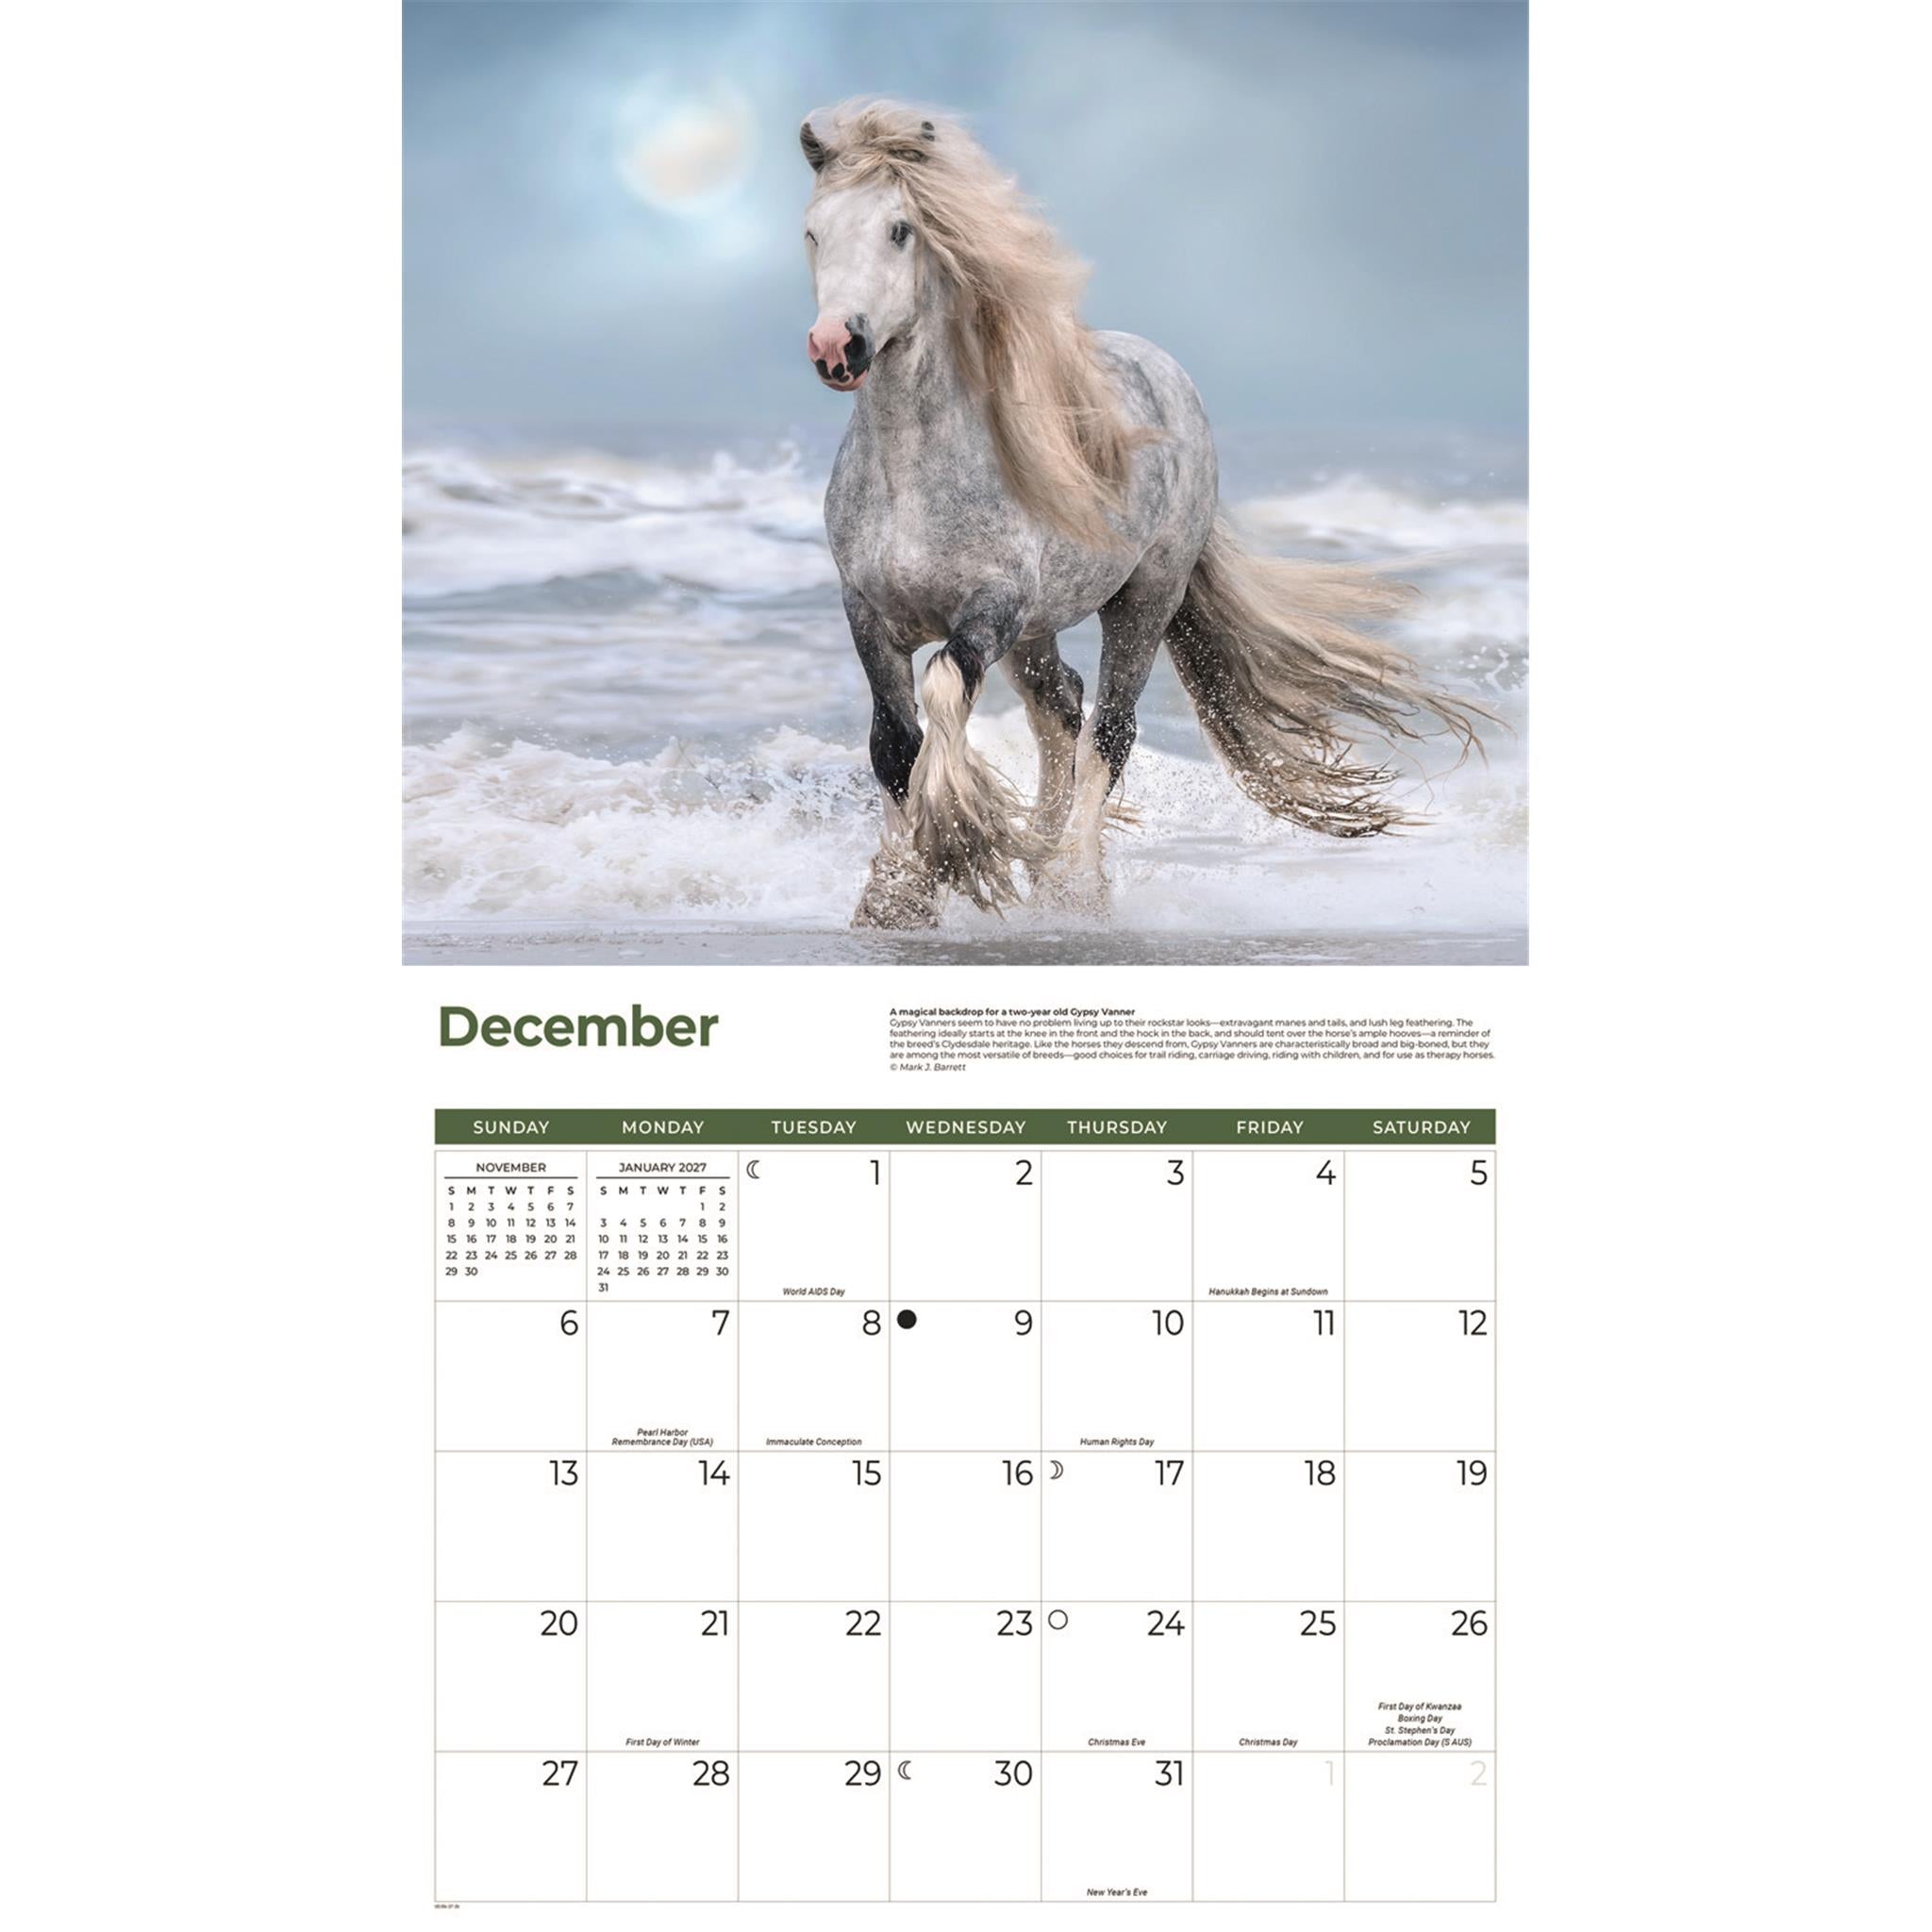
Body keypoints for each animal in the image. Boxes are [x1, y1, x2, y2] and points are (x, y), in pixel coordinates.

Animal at [799, 99, 1483, 929]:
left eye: (900, 228)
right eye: (814, 230)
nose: (838, 346)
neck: (913, 475)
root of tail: (1169, 373)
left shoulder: (991, 609)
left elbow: (941, 693)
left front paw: (955, 844)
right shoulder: (866, 612)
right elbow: (893, 745)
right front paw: (896, 897)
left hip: (1141, 601)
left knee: (1110, 730)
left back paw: (1074, 887)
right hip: (1041, 628)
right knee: (1061, 707)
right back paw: (1045, 864)